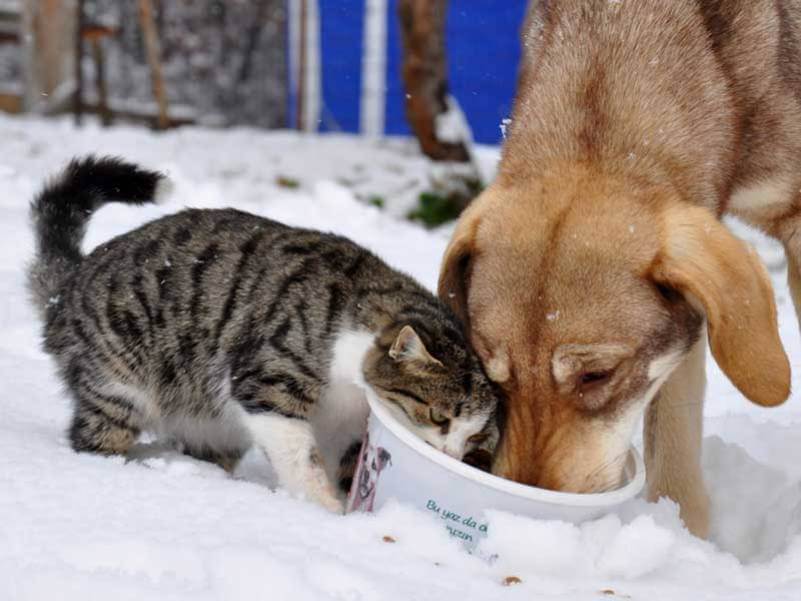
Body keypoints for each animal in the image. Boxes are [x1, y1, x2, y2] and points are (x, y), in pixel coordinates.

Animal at [28, 156, 504, 510]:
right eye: (440, 418)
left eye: (475, 435)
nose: (449, 456)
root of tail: (67, 285)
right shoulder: (269, 380)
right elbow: (300, 455)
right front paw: (323, 510)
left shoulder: (347, 424)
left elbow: (346, 465)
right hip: (117, 384)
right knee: (93, 436)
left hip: (213, 428)